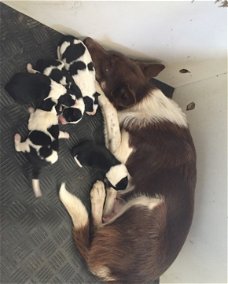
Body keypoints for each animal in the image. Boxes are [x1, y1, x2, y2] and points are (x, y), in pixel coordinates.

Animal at [58, 38, 196, 284]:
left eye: (107, 67)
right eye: (113, 54)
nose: (87, 40)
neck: (141, 97)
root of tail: (116, 274)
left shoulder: (120, 152)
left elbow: (111, 110)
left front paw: (96, 86)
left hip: (148, 206)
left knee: (98, 225)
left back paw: (98, 195)